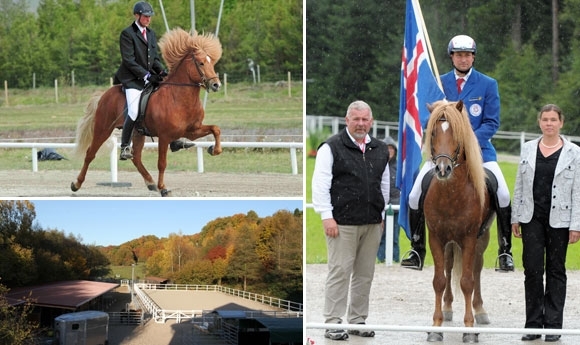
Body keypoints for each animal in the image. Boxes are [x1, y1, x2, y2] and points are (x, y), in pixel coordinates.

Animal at [68, 28, 222, 196]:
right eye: (201, 63)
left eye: (211, 62)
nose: (216, 85)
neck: (179, 97)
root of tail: (104, 95)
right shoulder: (164, 136)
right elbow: (162, 163)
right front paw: (163, 188)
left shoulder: (192, 130)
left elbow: (216, 129)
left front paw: (214, 149)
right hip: (103, 129)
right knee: (90, 154)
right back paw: (76, 184)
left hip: (137, 132)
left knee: (136, 158)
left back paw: (150, 182)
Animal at [422, 99, 494, 342]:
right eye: (433, 132)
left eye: (456, 132)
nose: (443, 169)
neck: (451, 195)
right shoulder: (435, 237)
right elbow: (439, 280)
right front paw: (436, 326)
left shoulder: (469, 239)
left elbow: (467, 281)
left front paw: (469, 329)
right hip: (449, 243)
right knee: (449, 266)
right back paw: (447, 308)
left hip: (481, 239)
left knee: (477, 269)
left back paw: (480, 310)